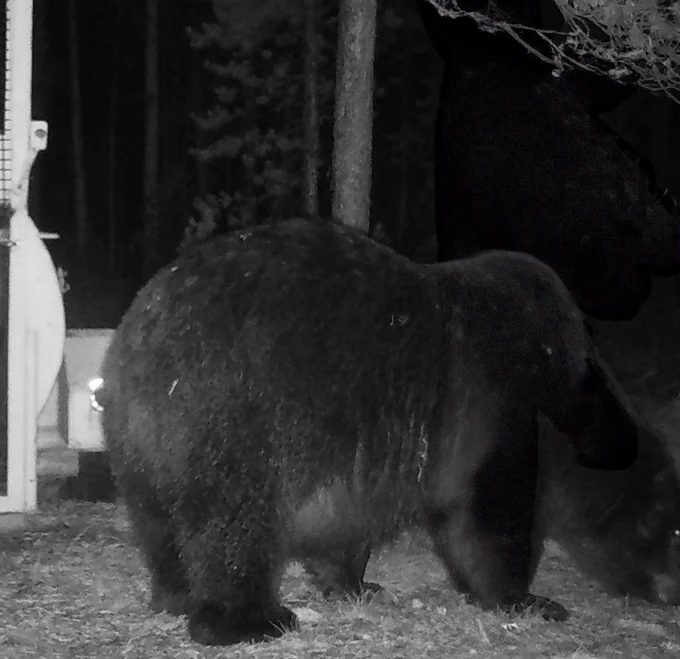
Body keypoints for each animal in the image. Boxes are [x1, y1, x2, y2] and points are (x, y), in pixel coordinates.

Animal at [99, 218, 638, 646]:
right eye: (604, 392)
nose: (626, 441)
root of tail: (146, 337)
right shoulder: (484, 400)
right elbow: (485, 508)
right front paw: (527, 597)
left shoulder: (359, 449)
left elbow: (342, 515)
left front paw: (355, 584)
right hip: (234, 418)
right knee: (236, 525)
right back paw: (251, 619)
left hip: (140, 442)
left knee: (158, 523)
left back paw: (175, 595)